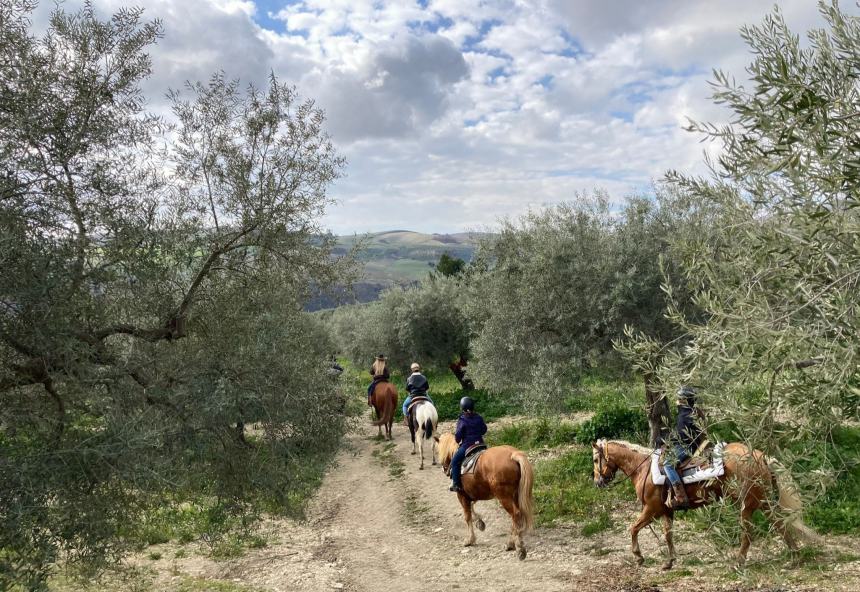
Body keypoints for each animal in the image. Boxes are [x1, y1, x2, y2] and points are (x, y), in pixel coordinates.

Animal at [592, 440, 820, 568]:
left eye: (595, 459)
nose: (598, 482)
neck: (644, 468)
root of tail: (760, 457)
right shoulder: (666, 511)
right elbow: (668, 534)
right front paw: (669, 562)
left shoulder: (651, 509)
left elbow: (633, 528)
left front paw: (638, 557)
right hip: (763, 502)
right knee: (780, 524)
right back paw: (795, 558)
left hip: (746, 505)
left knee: (748, 533)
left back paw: (738, 562)